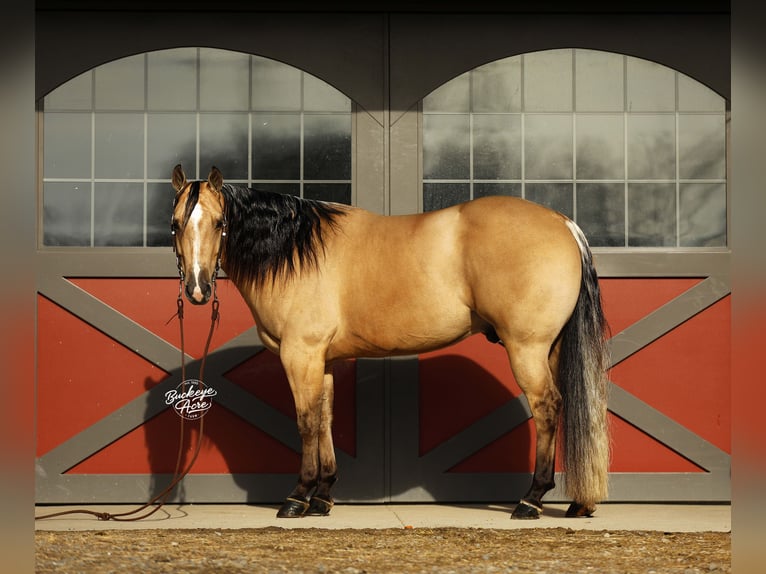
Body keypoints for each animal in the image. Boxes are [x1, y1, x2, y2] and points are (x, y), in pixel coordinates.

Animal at [170, 164, 610, 520]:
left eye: (218, 223)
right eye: (175, 224)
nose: (197, 289)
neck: (296, 250)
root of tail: (563, 223)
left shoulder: (301, 354)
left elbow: (306, 421)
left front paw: (297, 498)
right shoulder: (323, 360)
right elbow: (325, 419)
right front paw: (322, 498)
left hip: (527, 348)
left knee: (547, 408)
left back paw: (530, 500)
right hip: (549, 349)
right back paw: (576, 502)